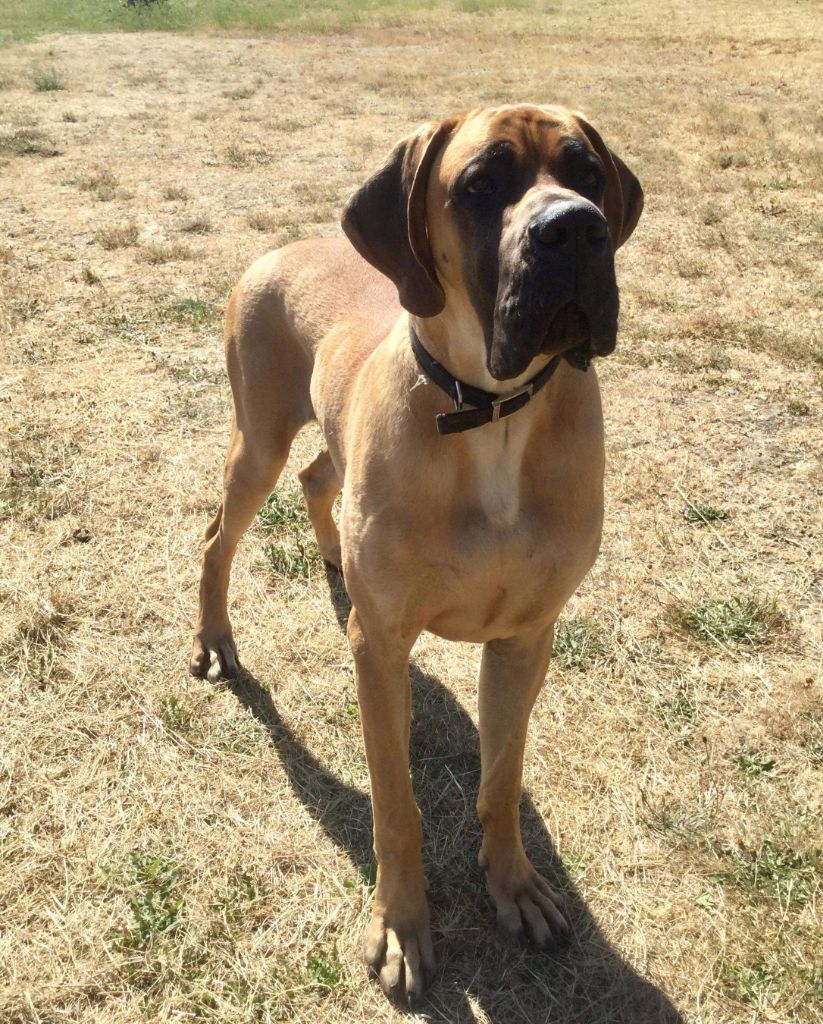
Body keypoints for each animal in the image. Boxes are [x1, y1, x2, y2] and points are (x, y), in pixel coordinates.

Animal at [190, 104, 643, 1004]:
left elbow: (501, 778)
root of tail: (278, 250)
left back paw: (333, 557)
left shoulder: (525, 639)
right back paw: (215, 640)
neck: (493, 416)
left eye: (588, 174)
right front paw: (401, 925)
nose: (575, 229)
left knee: (316, 476)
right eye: (479, 185)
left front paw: (515, 886)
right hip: (255, 439)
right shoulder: (381, 648)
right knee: (218, 536)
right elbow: (395, 805)